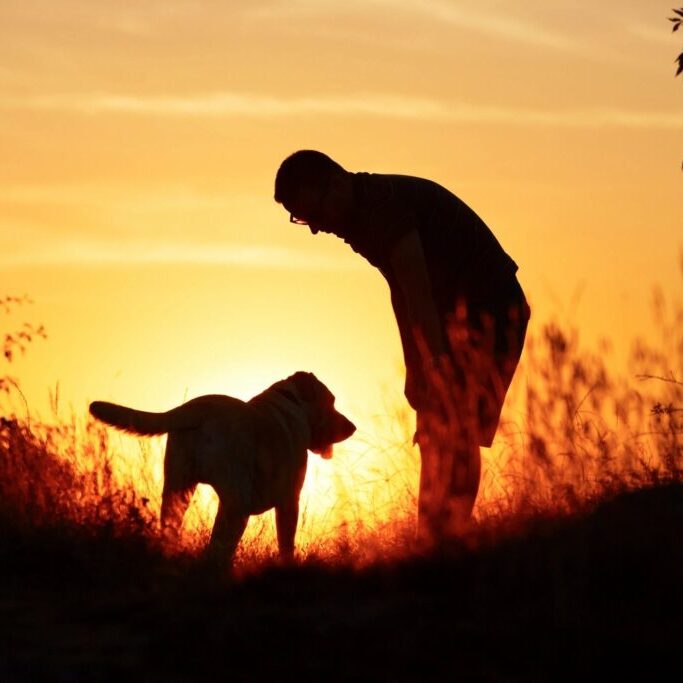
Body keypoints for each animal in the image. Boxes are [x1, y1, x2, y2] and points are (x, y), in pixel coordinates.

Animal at [88, 372, 356, 568]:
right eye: (331, 402)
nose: (352, 427)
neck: (292, 403)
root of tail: (200, 408)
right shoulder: (289, 500)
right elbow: (286, 544)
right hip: (236, 503)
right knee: (218, 549)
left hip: (176, 490)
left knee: (173, 532)